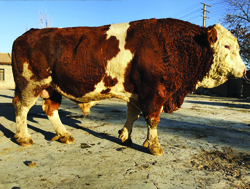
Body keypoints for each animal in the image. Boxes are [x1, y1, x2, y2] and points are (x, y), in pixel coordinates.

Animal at [11, 18, 246, 155]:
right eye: (226, 46)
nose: (244, 71)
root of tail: (27, 34)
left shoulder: (136, 92)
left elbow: (132, 115)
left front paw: (125, 135)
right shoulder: (154, 92)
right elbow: (153, 119)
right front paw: (154, 145)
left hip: (53, 87)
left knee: (50, 109)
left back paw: (64, 135)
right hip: (30, 85)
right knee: (21, 108)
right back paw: (24, 138)